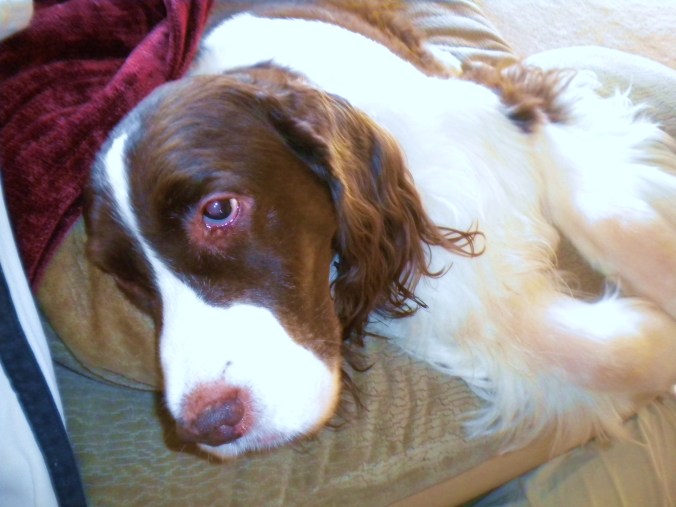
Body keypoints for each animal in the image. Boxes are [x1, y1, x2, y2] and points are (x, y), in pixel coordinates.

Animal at [85, 4, 676, 459]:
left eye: (219, 210)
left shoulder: (510, 104)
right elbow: (616, 350)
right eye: (127, 281)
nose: (206, 426)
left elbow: (612, 218)